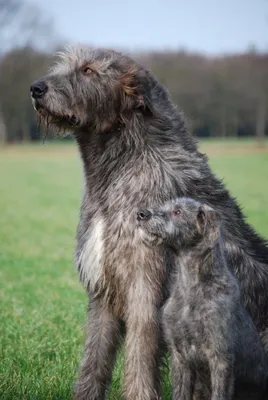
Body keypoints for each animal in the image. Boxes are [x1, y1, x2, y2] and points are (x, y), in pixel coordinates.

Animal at [138, 198, 268, 398]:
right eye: (165, 206)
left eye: (178, 212)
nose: (141, 214)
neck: (191, 287)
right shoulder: (180, 355)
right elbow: (180, 393)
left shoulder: (219, 356)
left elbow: (219, 394)